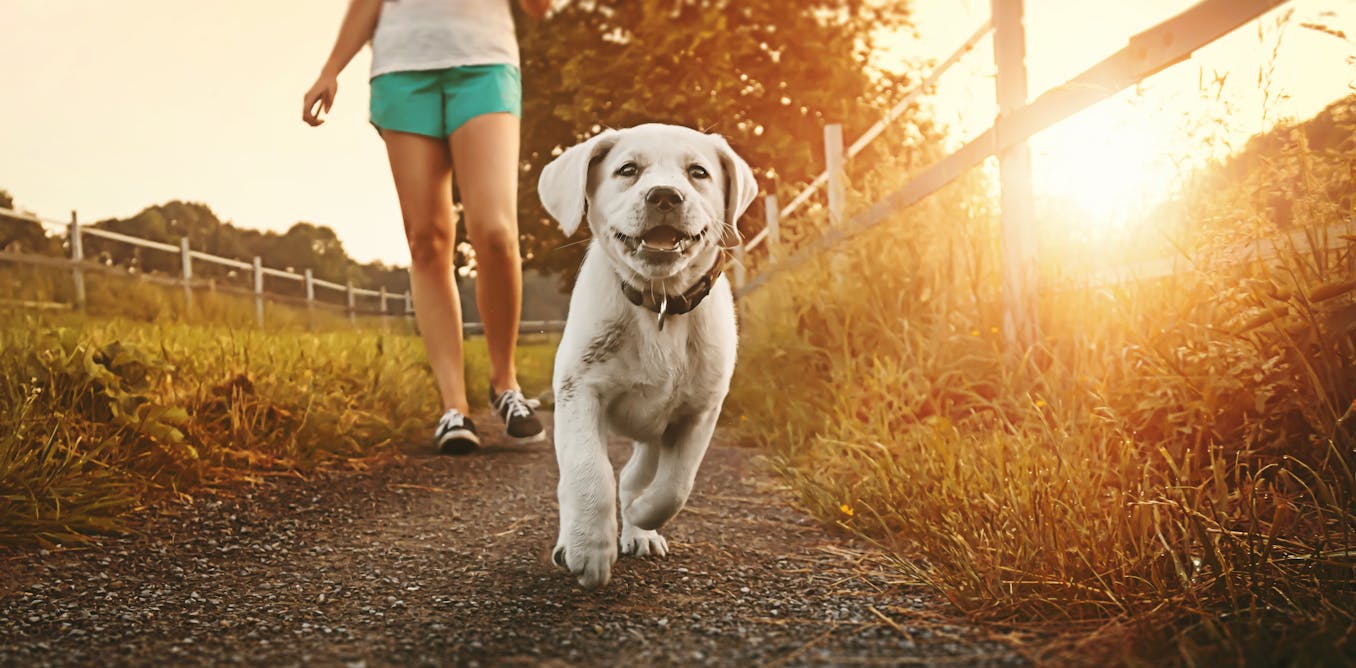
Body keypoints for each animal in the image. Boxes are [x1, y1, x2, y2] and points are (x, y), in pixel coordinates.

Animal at [534, 122, 759, 585]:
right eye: (628, 170)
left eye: (698, 172)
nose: (665, 195)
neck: (659, 304)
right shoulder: (578, 391)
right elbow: (589, 471)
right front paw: (590, 547)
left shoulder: (699, 412)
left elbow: (676, 485)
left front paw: (641, 517)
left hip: (654, 434)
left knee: (637, 475)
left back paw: (639, 531)